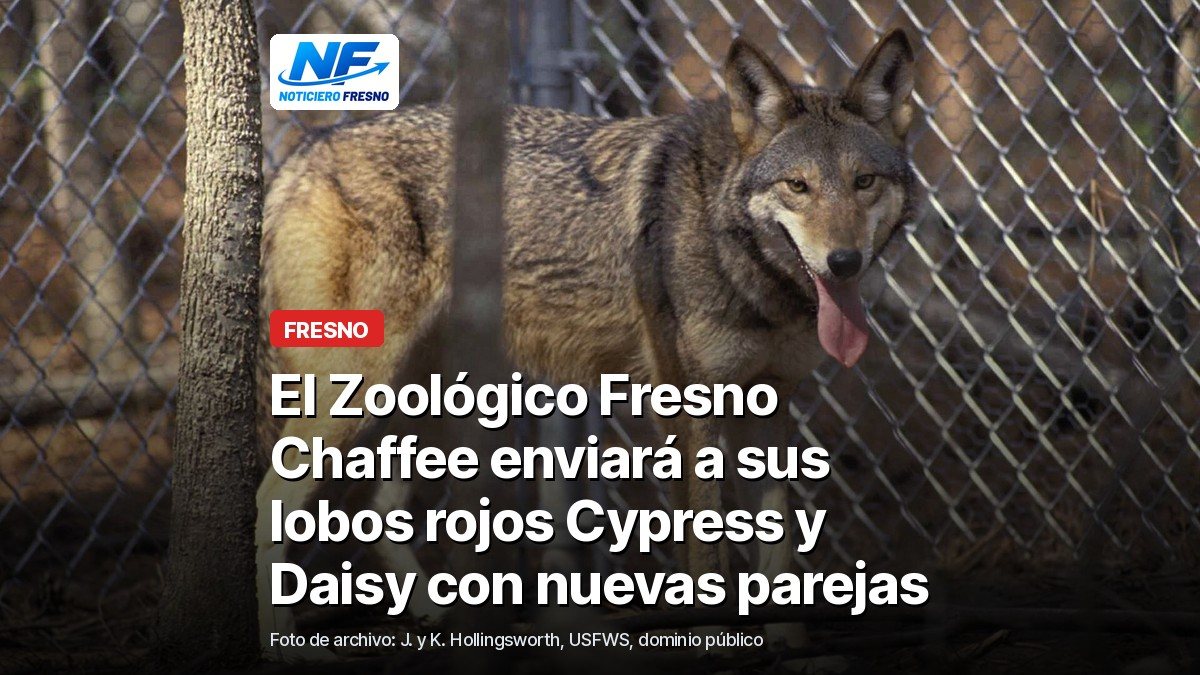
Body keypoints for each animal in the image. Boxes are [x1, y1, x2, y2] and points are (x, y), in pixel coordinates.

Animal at [256, 29, 919, 654]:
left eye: (863, 182)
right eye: (797, 187)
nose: (844, 262)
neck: (740, 259)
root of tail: (305, 152)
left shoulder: (770, 399)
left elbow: (778, 541)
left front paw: (786, 643)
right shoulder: (688, 407)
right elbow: (705, 548)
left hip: (422, 400)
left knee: (376, 511)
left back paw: (440, 624)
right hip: (360, 391)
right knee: (272, 499)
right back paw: (281, 642)